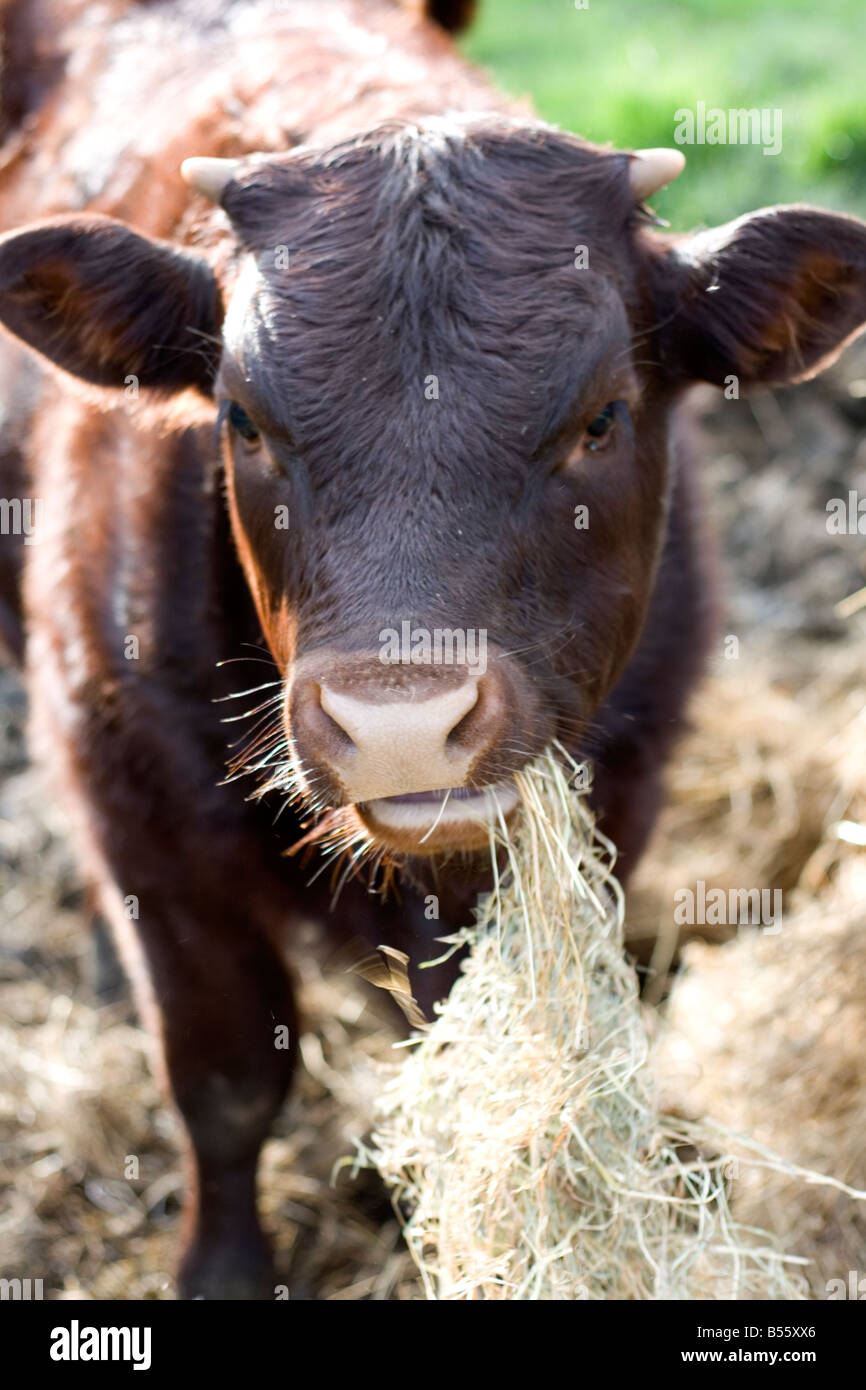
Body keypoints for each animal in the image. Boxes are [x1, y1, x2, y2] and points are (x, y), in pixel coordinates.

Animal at [1, 2, 866, 1301]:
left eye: (602, 417)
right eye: (241, 420)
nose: (399, 722)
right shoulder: (135, 804)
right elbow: (223, 1079)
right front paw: (221, 1268)